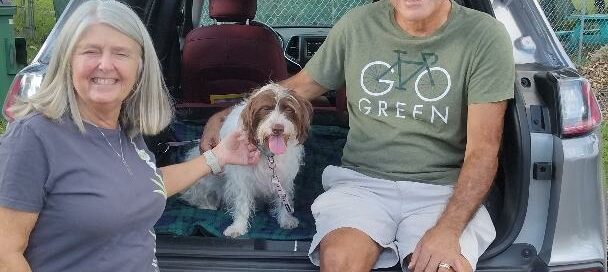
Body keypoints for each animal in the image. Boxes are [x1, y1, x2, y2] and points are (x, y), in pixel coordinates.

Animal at [179, 83, 314, 238]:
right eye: (265, 109)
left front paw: (285, 219)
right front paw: (238, 226)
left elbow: (283, 199)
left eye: (289, 109)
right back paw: (207, 205)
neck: (268, 154)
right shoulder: (241, 178)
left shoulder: (283, 176)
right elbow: (242, 203)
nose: (278, 128)